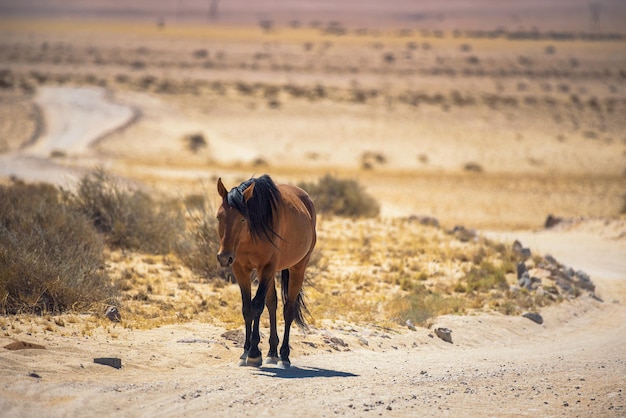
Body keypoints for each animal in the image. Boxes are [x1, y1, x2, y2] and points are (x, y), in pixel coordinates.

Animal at [217, 175, 316, 368]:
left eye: (242, 219)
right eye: (219, 217)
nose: (224, 257)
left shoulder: (267, 267)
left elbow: (257, 305)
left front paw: (254, 353)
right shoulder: (241, 269)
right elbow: (247, 308)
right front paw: (245, 352)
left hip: (297, 267)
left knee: (288, 309)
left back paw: (284, 356)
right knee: (272, 304)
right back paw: (272, 352)